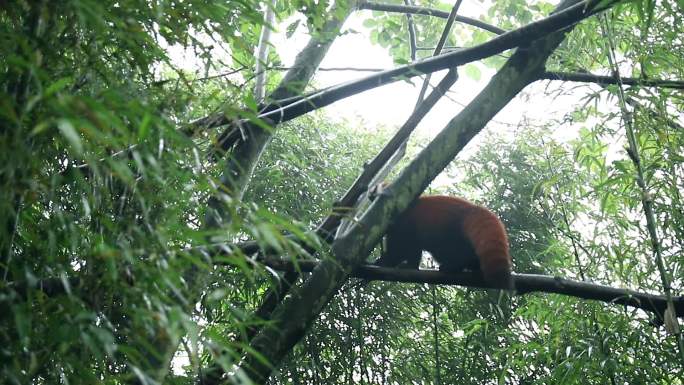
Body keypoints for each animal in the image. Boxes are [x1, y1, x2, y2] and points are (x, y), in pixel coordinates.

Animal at [374, 195, 512, 288]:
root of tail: (473, 208)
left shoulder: (404, 225)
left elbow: (402, 250)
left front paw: (388, 262)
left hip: (448, 232)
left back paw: (453, 266)